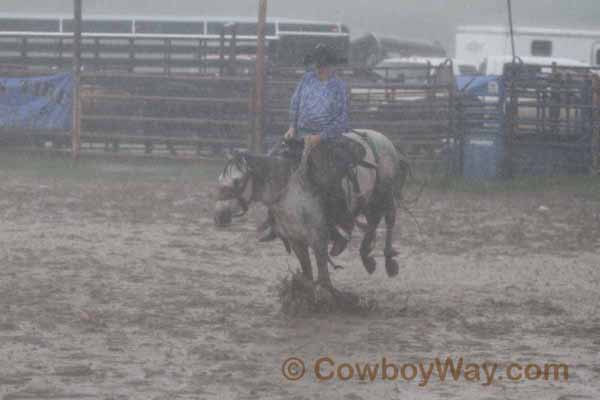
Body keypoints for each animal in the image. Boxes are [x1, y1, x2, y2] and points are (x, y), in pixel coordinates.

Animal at [213, 130, 410, 290]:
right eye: (219, 179)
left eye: (237, 181)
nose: (219, 216)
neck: (290, 190)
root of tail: (383, 139)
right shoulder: (296, 241)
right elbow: (307, 272)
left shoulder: (318, 239)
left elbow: (323, 277)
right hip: (369, 202)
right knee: (372, 223)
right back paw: (367, 258)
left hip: (385, 194)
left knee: (389, 220)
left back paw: (389, 262)